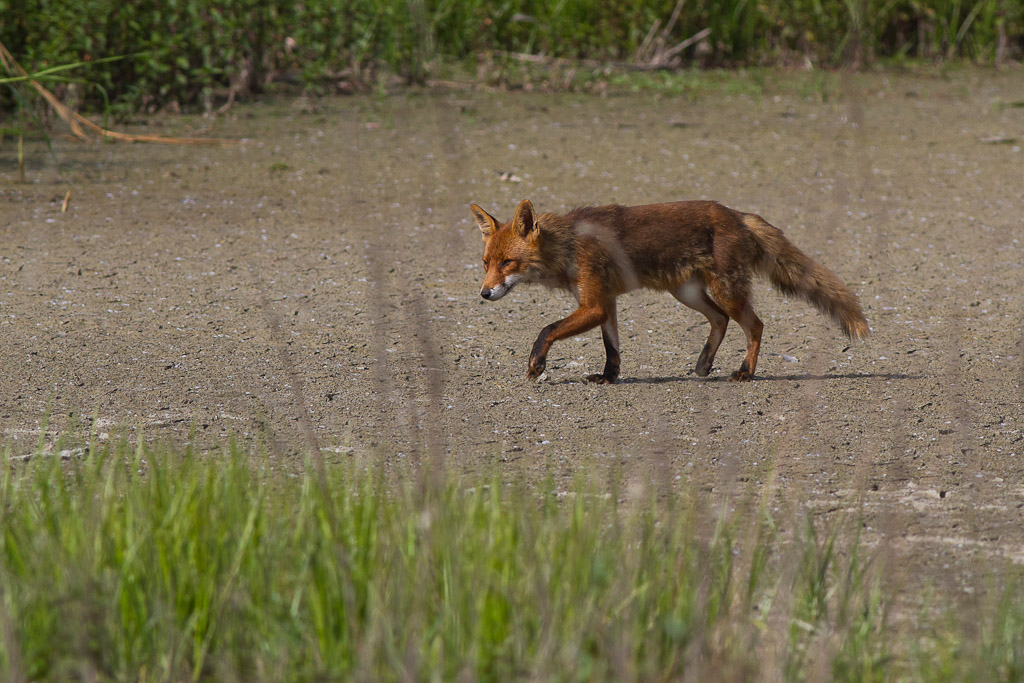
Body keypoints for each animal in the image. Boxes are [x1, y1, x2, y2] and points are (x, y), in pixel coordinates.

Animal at [468, 198, 868, 385]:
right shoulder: (606, 304)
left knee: (755, 325)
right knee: (720, 321)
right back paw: (704, 363)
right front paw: (608, 378)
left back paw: (745, 372)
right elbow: (612, 349)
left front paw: (537, 363)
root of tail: (738, 214)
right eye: (485, 263)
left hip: (725, 291)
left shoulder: (595, 304)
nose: (484, 295)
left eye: (508, 263)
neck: (568, 245)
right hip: (687, 294)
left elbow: (546, 330)